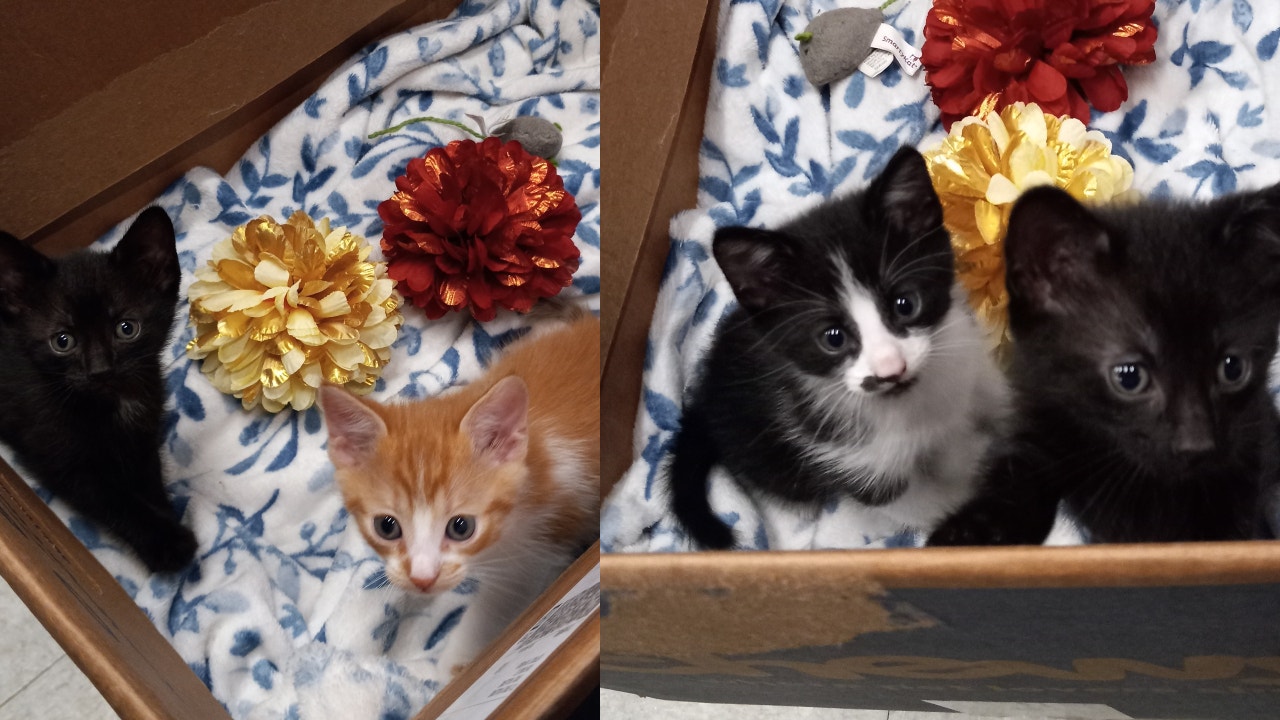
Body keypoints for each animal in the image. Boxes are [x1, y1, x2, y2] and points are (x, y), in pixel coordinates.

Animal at [0, 207, 197, 571]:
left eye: (126, 328)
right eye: (62, 341)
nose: (100, 369)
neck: (112, 401)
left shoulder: (142, 434)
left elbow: (147, 475)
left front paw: (164, 510)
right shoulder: (61, 460)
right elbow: (114, 500)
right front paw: (168, 543)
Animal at [320, 311, 599, 671]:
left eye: (461, 527)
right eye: (386, 526)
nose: (422, 579)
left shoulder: (538, 541)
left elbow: (501, 595)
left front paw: (456, 663)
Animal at [670, 147, 1008, 548]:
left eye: (905, 304)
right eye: (833, 338)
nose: (891, 369)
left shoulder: (964, 351)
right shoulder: (857, 463)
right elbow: (920, 501)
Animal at [926, 184, 1280, 543]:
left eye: (1233, 369)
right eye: (1129, 377)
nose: (1197, 446)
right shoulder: (1037, 432)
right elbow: (1017, 478)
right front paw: (970, 531)